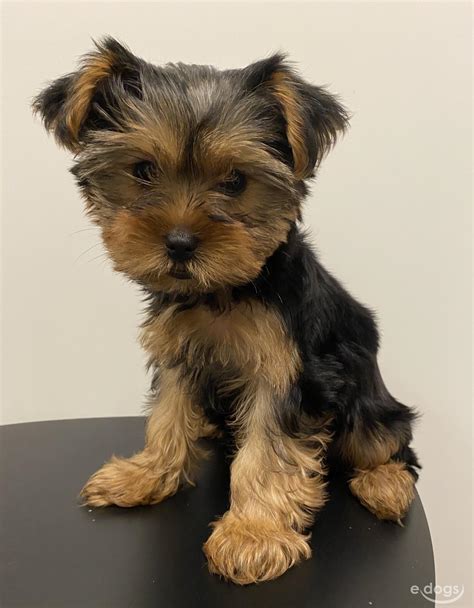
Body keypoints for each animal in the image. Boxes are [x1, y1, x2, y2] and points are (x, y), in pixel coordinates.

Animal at [33, 36, 418, 584]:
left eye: (236, 181)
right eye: (143, 171)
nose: (179, 243)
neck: (224, 290)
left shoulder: (287, 370)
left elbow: (267, 450)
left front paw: (251, 535)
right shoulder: (177, 351)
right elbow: (168, 413)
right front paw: (146, 474)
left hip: (366, 398)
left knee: (387, 442)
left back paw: (384, 484)